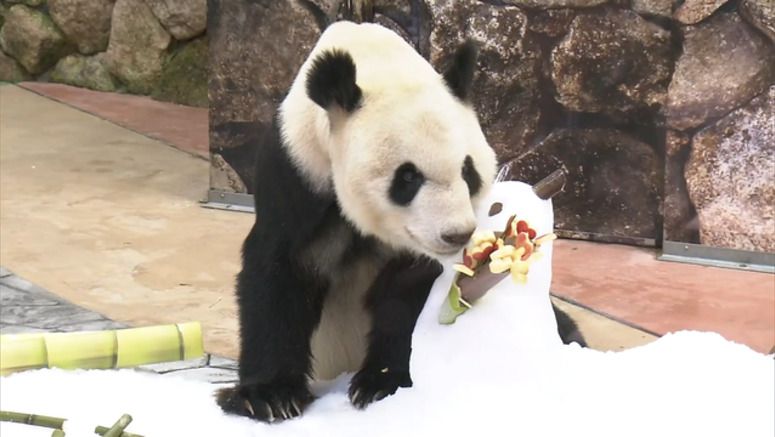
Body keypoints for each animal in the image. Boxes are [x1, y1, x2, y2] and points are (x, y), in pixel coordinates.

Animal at [216, 20, 585, 423]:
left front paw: (381, 381)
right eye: (407, 177)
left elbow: (408, 293)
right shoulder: (297, 171)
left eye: (468, 172)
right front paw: (269, 396)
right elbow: (280, 272)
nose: (456, 234)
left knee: (567, 330)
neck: (373, 60)